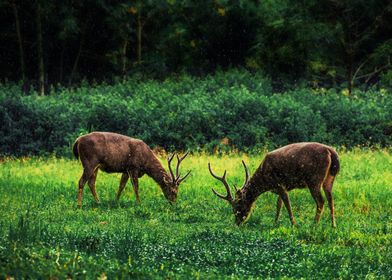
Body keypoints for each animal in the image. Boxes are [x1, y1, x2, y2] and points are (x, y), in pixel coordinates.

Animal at [208, 142, 340, 228]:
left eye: (237, 208)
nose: (237, 223)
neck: (265, 182)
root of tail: (332, 153)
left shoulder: (279, 184)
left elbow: (287, 204)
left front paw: (294, 225)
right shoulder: (281, 187)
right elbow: (279, 205)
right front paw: (275, 223)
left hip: (314, 179)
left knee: (321, 201)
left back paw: (314, 224)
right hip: (330, 178)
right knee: (330, 199)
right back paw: (333, 225)